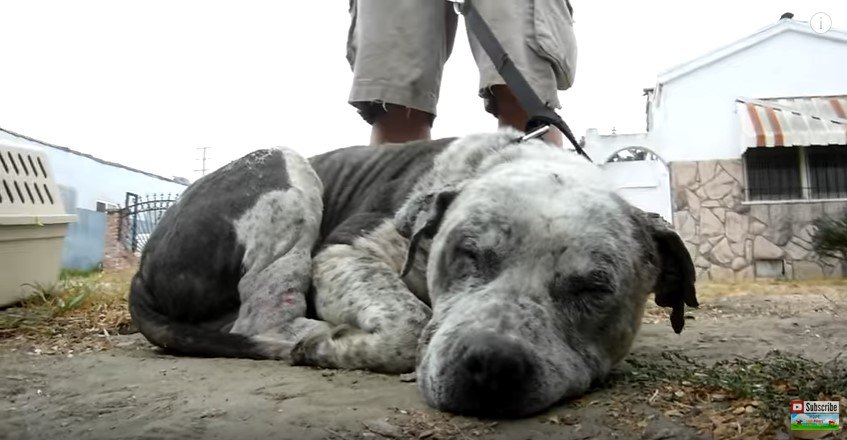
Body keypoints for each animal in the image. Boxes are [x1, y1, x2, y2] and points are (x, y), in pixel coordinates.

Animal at [129, 129, 700, 418]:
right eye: (467, 253)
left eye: (593, 287)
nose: (492, 362)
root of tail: (143, 263)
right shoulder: (345, 251)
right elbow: (408, 323)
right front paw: (337, 345)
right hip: (285, 165)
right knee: (262, 315)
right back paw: (309, 336)